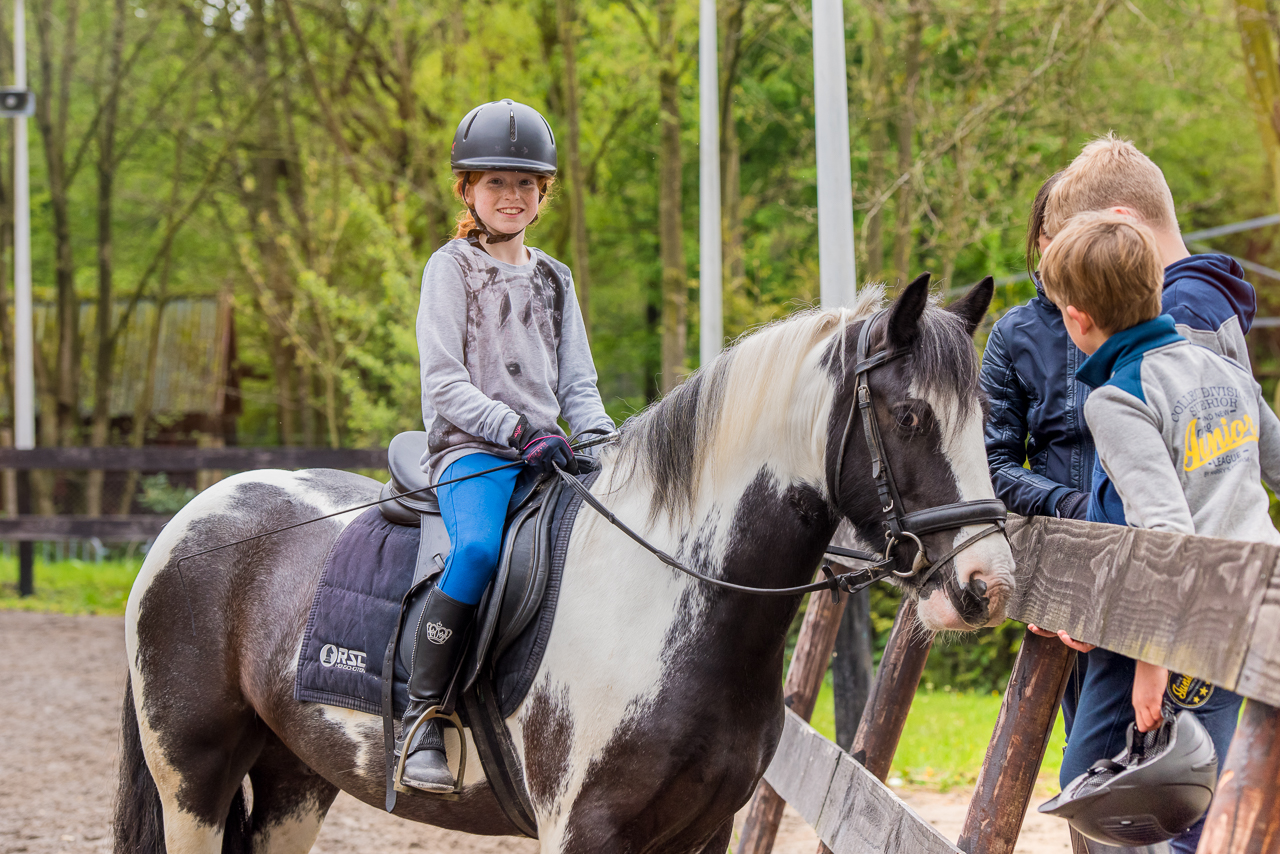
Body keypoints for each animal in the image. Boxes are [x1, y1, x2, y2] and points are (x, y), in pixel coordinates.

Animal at [115, 277, 1013, 850]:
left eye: (981, 418)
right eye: (908, 415)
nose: (988, 586)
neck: (670, 599)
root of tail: (199, 513)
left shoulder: (704, 831)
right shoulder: (585, 831)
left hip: (295, 779)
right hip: (192, 783)